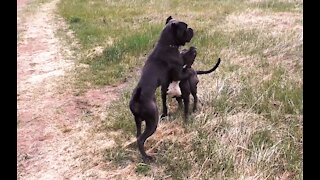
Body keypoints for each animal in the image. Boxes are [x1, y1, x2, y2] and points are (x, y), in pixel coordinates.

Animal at [129, 16, 194, 161]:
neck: (167, 44)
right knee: (141, 139)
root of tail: (137, 99)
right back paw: (147, 157)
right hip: (152, 121)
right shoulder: (178, 72)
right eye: (185, 28)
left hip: (138, 121)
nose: (191, 28)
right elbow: (185, 71)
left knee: (137, 135)